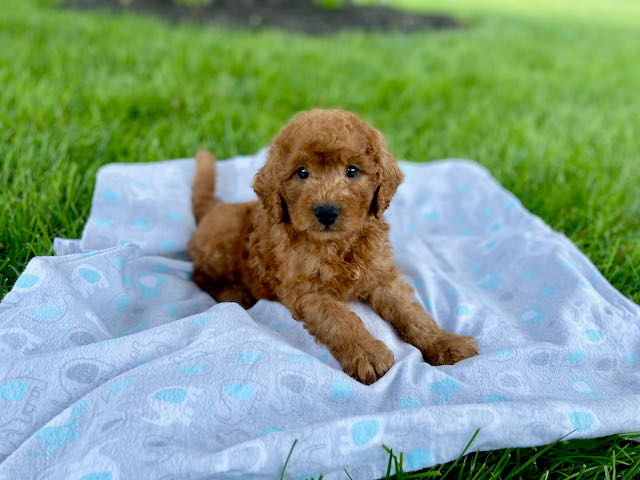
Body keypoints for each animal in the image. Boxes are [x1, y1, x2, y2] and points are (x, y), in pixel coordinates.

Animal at [188, 108, 478, 382]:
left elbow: (412, 313)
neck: (338, 244)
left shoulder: (383, 278)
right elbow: (341, 320)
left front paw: (445, 342)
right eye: (302, 172)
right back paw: (232, 293)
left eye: (352, 170)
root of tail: (212, 207)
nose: (326, 212)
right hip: (222, 239)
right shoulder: (309, 292)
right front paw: (367, 354)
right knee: (199, 275)